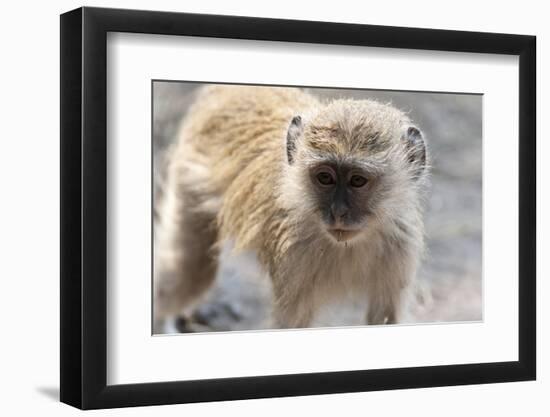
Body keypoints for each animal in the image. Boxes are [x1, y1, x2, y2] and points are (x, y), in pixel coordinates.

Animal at [154, 85, 432, 328]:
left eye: (357, 181)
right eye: (325, 178)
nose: (338, 212)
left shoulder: (401, 243)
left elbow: (385, 316)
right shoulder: (292, 252)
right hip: (190, 181)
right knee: (189, 275)